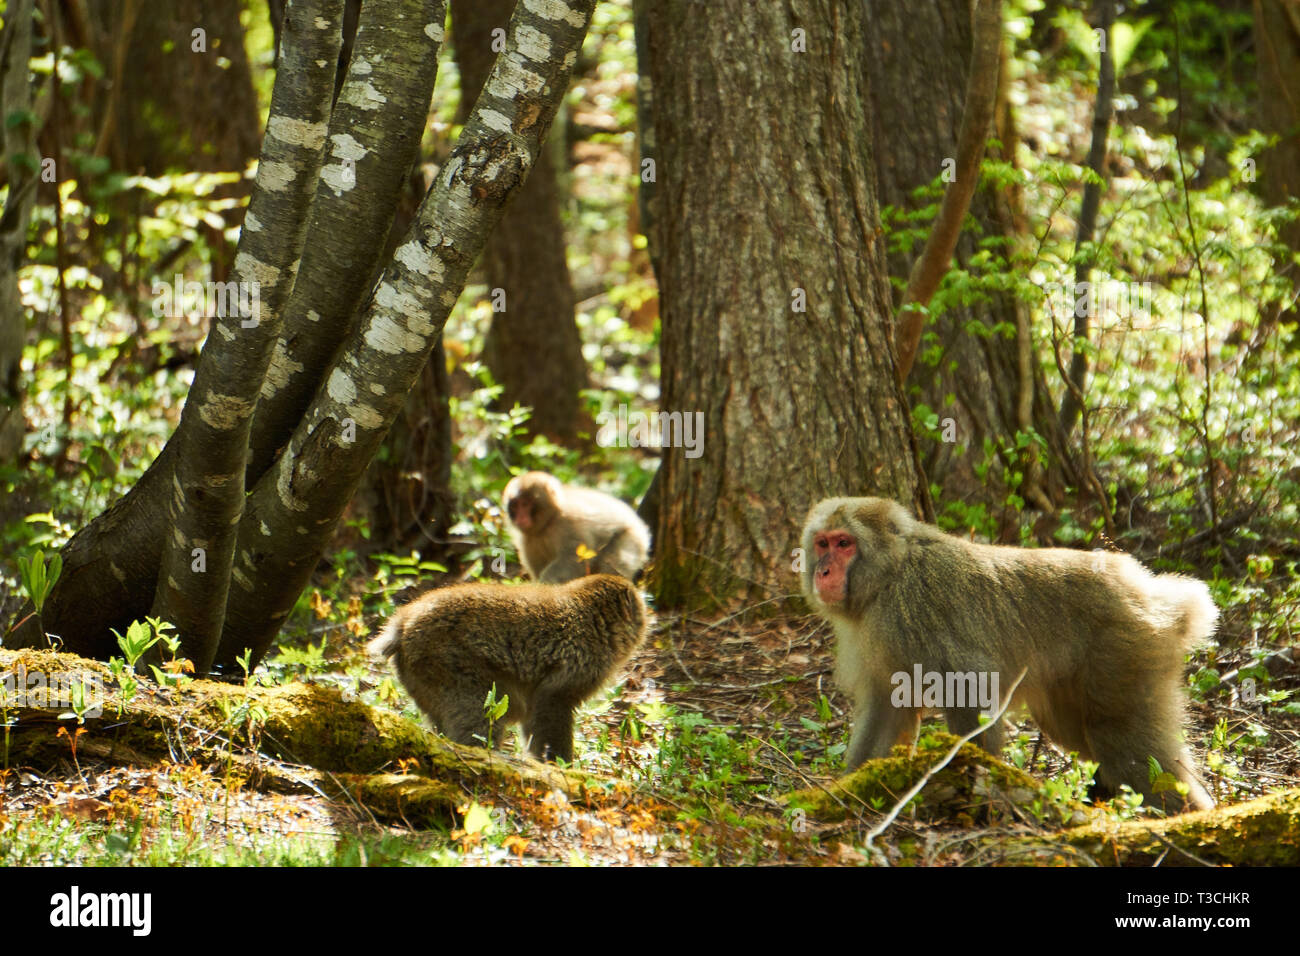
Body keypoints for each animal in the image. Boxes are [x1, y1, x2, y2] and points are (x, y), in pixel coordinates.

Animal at [800, 496, 1216, 811]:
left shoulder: (913, 610)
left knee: (1122, 739)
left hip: (1126, 650)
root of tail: (1150, 591)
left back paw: (1188, 815)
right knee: (1076, 730)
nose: (823, 572)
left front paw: (972, 780)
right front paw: (850, 790)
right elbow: (889, 706)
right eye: (822, 543)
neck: (888, 576)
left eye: (844, 543)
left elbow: (969, 686)